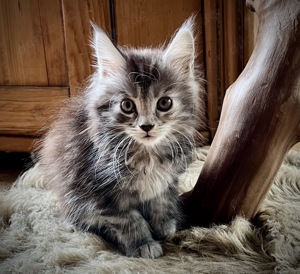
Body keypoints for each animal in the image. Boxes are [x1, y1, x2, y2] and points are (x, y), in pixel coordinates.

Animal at [38, 17, 205, 260]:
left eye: (164, 103)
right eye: (127, 105)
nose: (147, 126)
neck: (147, 155)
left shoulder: (166, 181)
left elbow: (162, 201)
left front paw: (165, 226)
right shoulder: (101, 192)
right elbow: (129, 221)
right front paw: (144, 244)